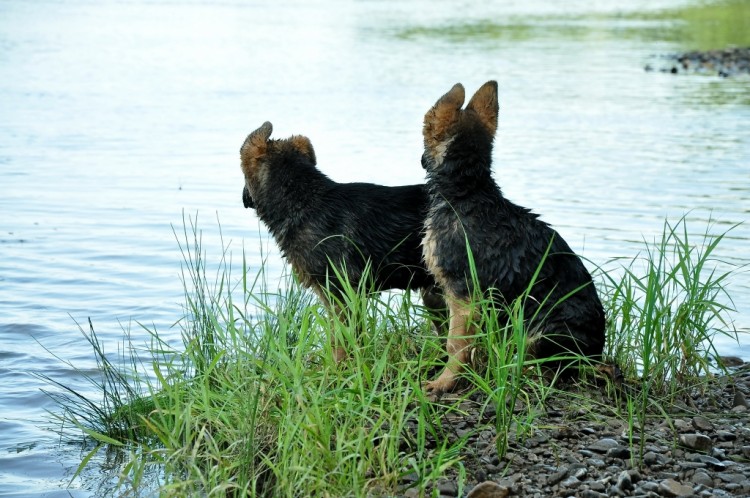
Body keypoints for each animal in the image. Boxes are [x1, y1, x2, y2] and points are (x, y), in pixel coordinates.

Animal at [420, 80, 608, 392]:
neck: (468, 191)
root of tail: (595, 353)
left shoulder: (462, 294)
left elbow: (455, 344)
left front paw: (444, 382)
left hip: (543, 328)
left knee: (551, 369)